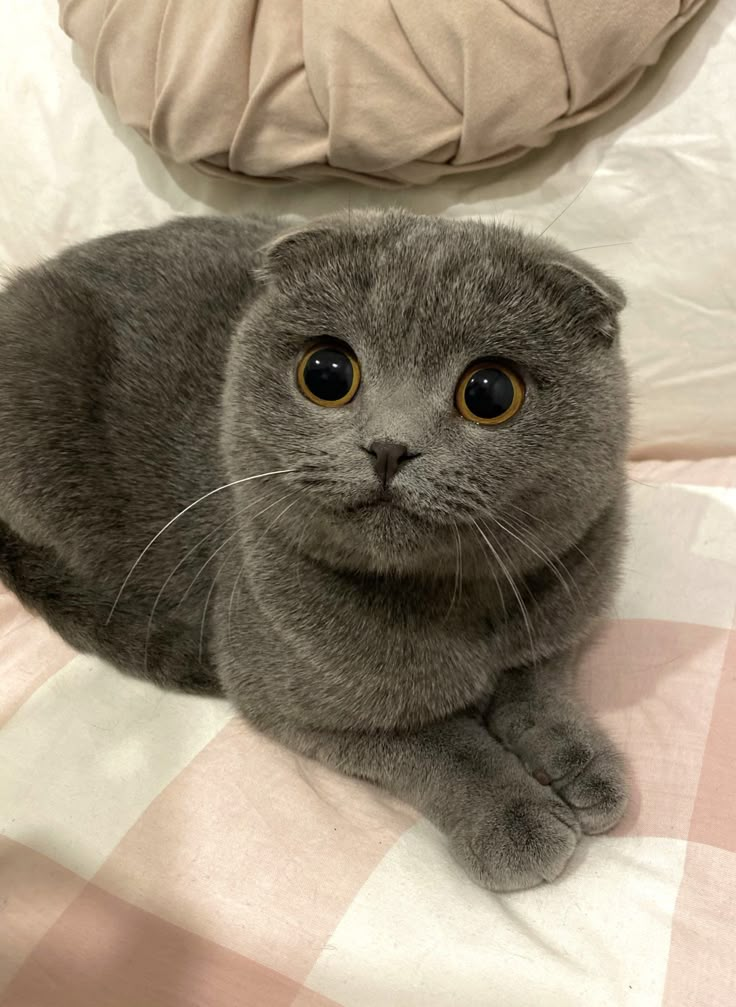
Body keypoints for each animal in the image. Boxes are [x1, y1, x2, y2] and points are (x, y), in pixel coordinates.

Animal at [1, 210, 632, 890]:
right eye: (326, 374)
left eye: (490, 393)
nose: (389, 446)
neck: (460, 604)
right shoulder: (280, 697)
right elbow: (439, 744)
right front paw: (515, 818)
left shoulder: (564, 611)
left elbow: (541, 684)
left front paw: (581, 764)